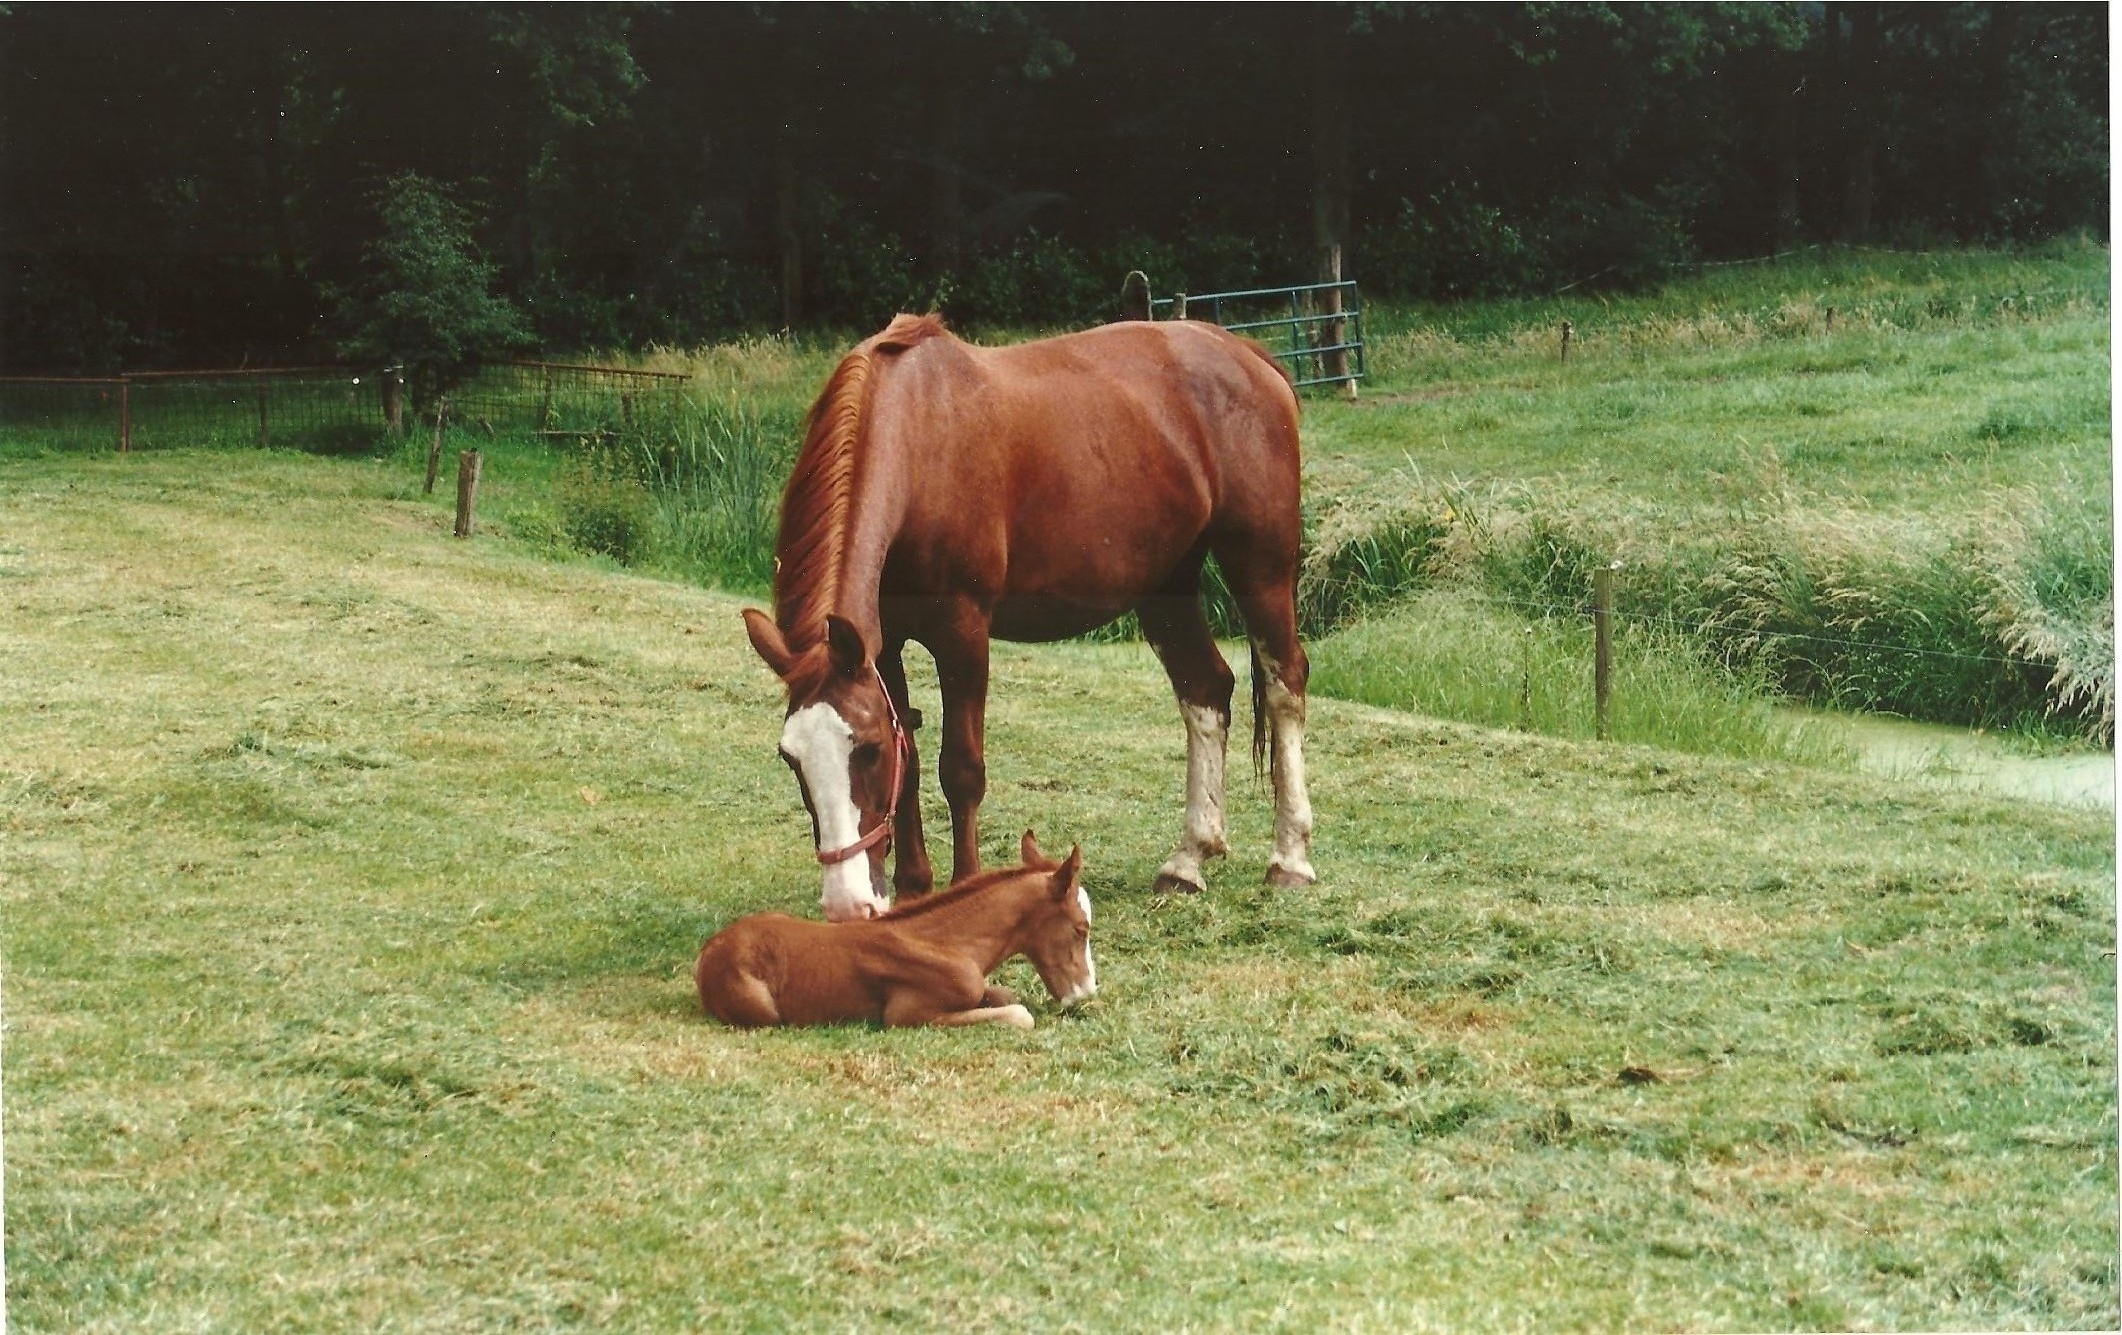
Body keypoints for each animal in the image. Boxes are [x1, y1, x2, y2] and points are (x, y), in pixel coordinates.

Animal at [694, 831, 1095, 1029]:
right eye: (1081, 929)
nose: (1086, 994)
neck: (948, 943)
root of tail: (709, 951)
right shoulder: (907, 1015)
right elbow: (1019, 1016)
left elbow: (1004, 995)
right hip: (761, 1009)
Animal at [741, 312, 1315, 923]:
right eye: (790, 757)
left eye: (867, 750)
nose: (848, 906)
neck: (921, 442)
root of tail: (1250, 356)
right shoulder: (884, 643)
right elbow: (913, 762)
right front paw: (916, 889)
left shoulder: (963, 633)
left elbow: (960, 769)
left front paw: (966, 886)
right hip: (1166, 584)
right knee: (1205, 690)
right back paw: (1188, 860)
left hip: (1260, 565)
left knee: (1285, 684)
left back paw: (1290, 859)